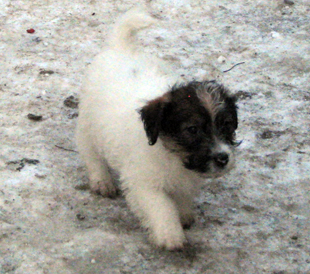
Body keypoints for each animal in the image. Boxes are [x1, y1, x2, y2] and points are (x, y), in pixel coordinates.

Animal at [76, 7, 239, 252]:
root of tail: (120, 48)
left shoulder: (184, 180)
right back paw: (101, 180)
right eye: (193, 129)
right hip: (89, 125)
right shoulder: (144, 182)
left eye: (227, 125)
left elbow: (181, 197)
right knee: (90, 152)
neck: (172, 154)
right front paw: (170, 235)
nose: (223, 158)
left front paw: (184, 214)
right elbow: (161, 207)